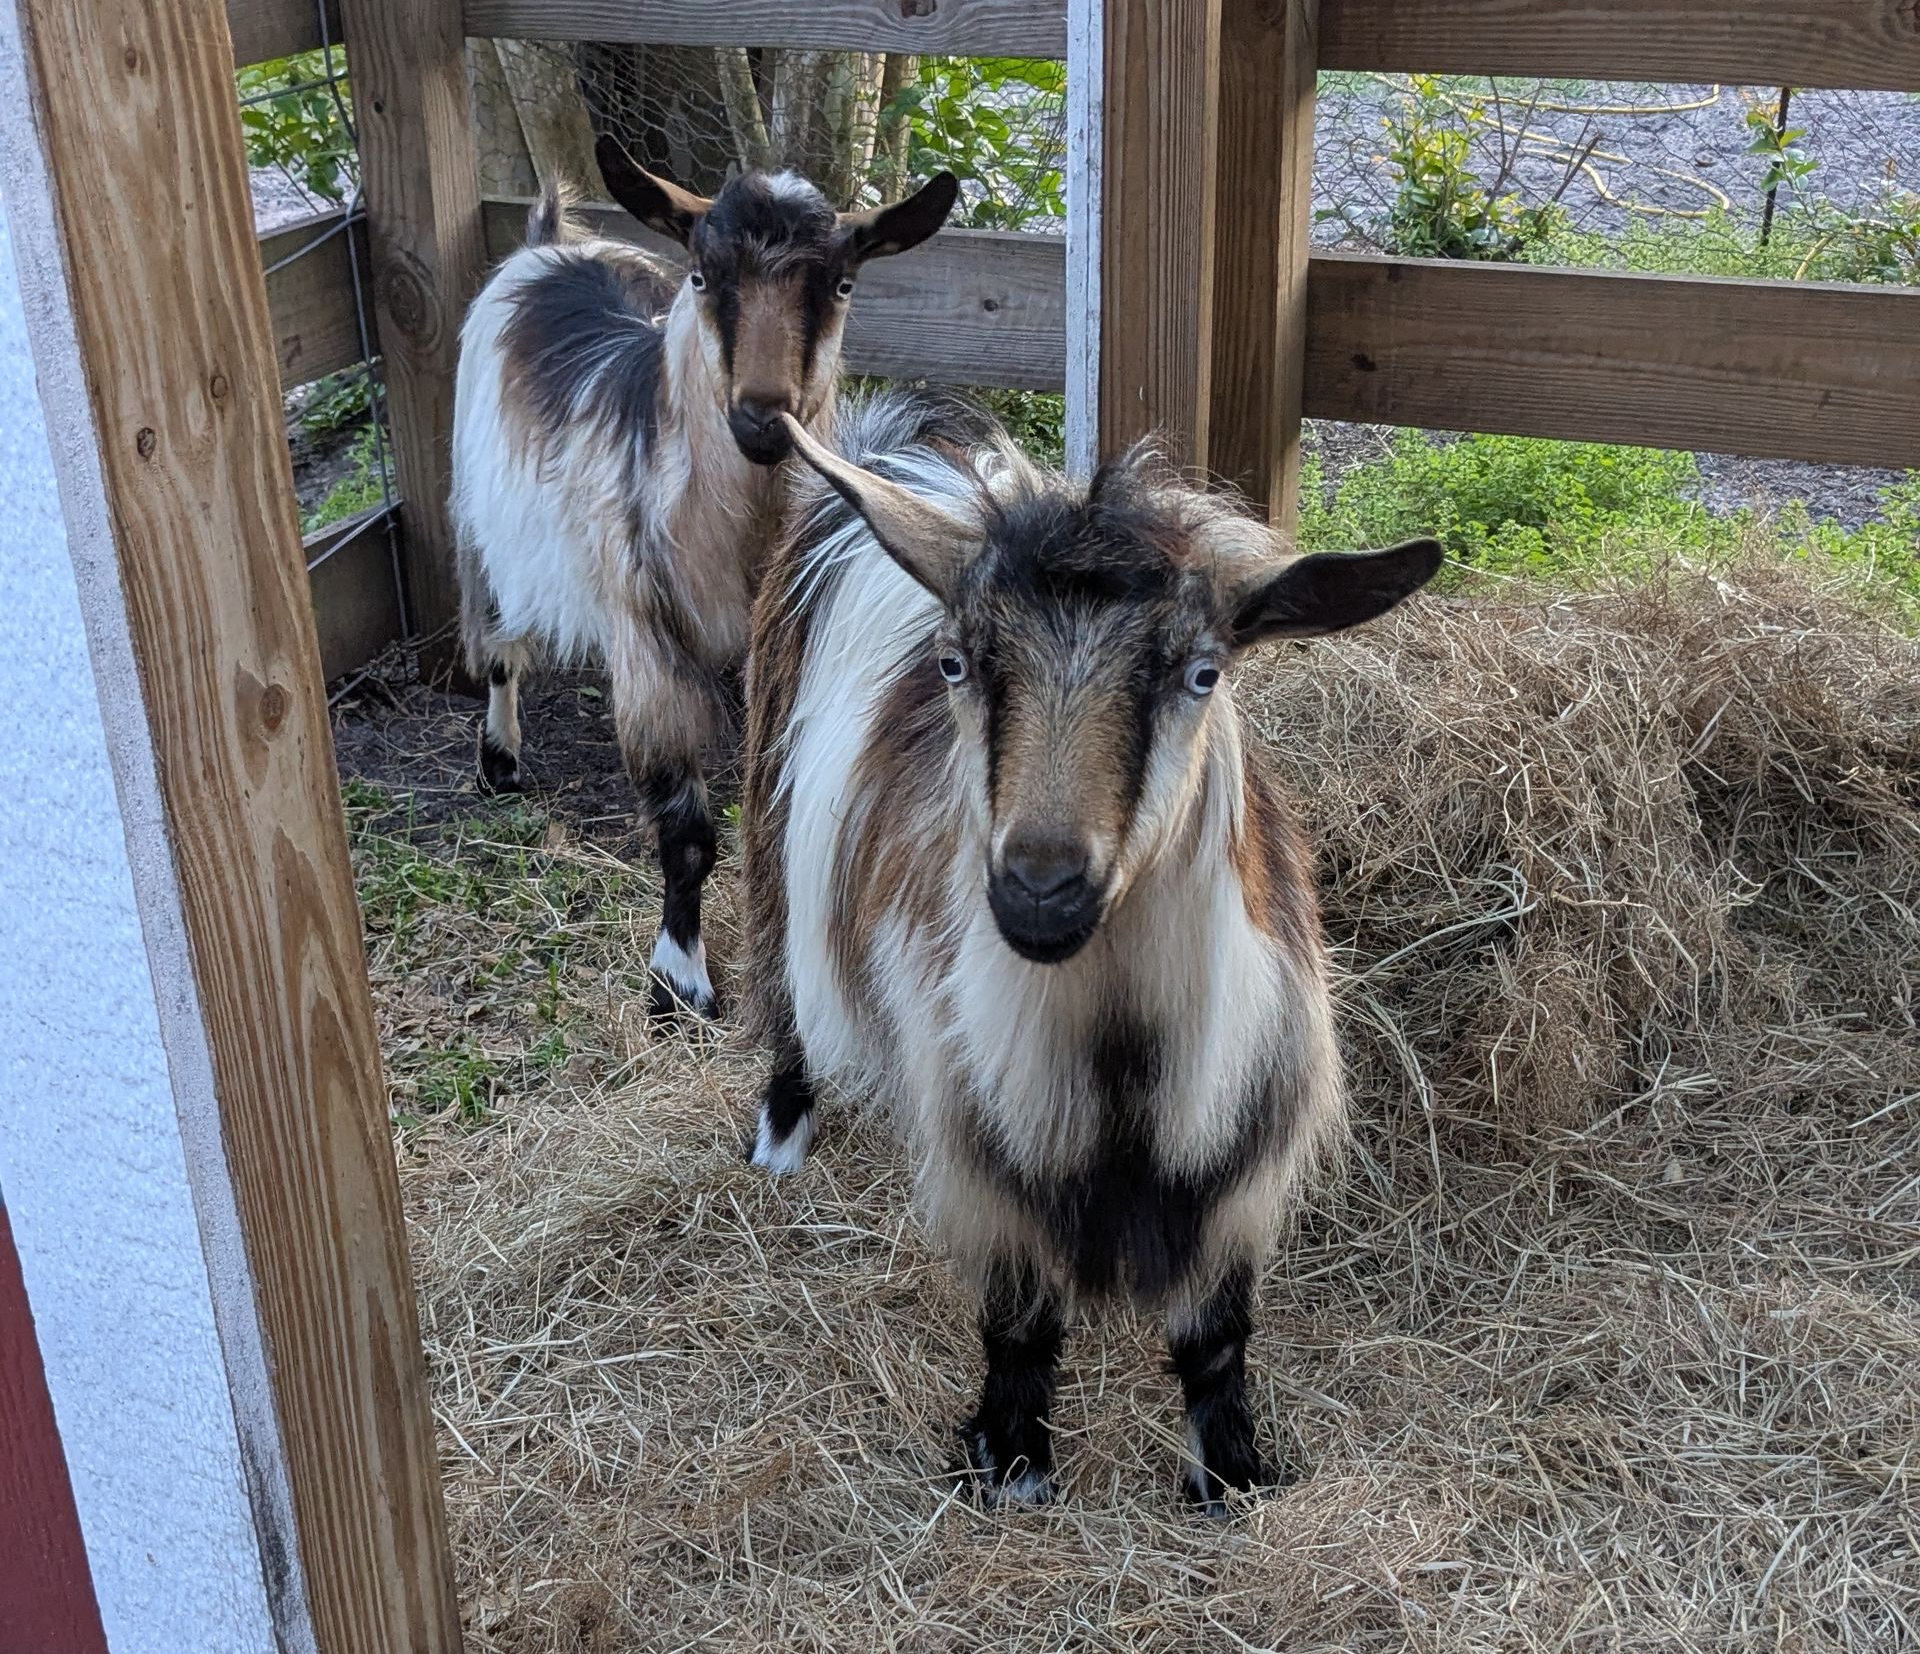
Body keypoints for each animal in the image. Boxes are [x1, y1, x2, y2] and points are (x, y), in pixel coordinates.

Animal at [452, 140, 957, 1018]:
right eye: (700, 274)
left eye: (842, 283)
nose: (761, 416)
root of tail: (547, 242)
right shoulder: (648, 640)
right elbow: (685, 832)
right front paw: (678, 975)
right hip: (479, 523)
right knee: (498, 645)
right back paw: (501, 761)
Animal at [738, 391, 1441, 1510]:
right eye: (956, 662)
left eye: (1202, 672)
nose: (1039, 888)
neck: (1121, 1054)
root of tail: (907, 462)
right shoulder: (986, 1148)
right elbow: (1018, 1319)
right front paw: (1011, 1459)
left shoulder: (1239, 1165)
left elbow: (1217, 1334)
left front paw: (1231, 1472)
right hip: (768, 822)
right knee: (780, 979)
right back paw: (782, 1136)